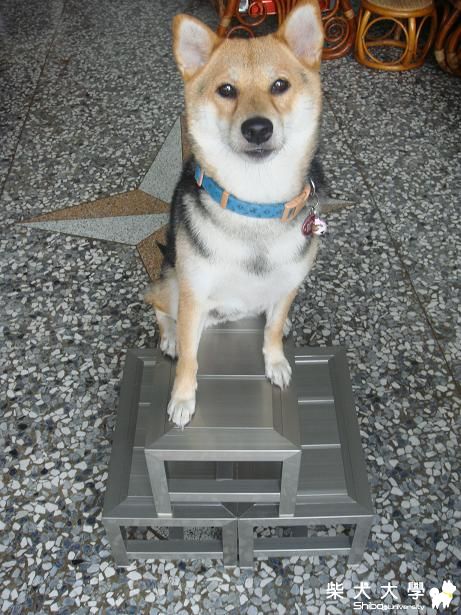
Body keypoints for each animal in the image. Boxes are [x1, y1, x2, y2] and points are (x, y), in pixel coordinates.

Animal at [145, 0, 325, 428]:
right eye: (227, 90)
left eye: (280, 85)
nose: (257, 128)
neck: (254, 203)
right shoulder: (193, 293)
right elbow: (189, 360)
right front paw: (182, 398)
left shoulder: (290, 280)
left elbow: (272, 330)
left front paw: (275, 359)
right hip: (172, 284)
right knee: (157, 304)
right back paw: (170, 337)